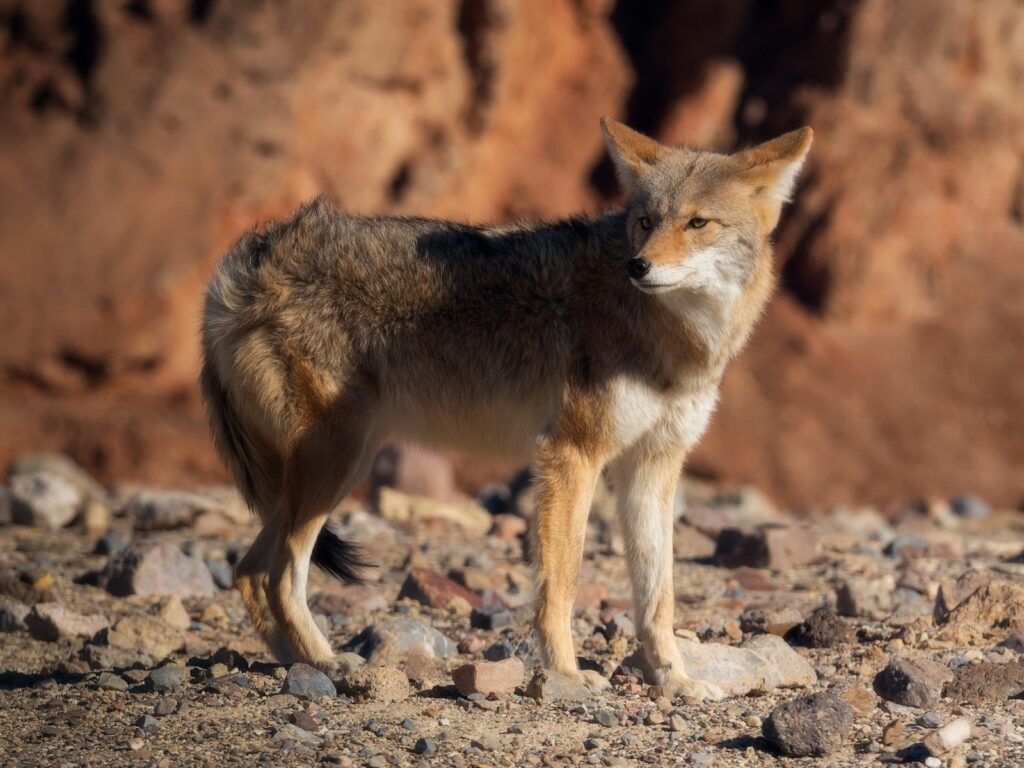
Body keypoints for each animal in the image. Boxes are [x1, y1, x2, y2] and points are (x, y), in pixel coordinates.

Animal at [200, 117, 812, 700]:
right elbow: (561, 581)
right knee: (279, 575)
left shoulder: (652, 468)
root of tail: (244, 266)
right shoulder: (571, 454)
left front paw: (675, 681)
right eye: (645, 221)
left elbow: (657, 596)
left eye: (697, 223)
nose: (638, 266)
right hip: (334, 465)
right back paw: (328, 663)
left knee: (249, 569)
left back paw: (297, 663)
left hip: (330, 469)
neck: (673, 338)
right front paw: (566, 676)